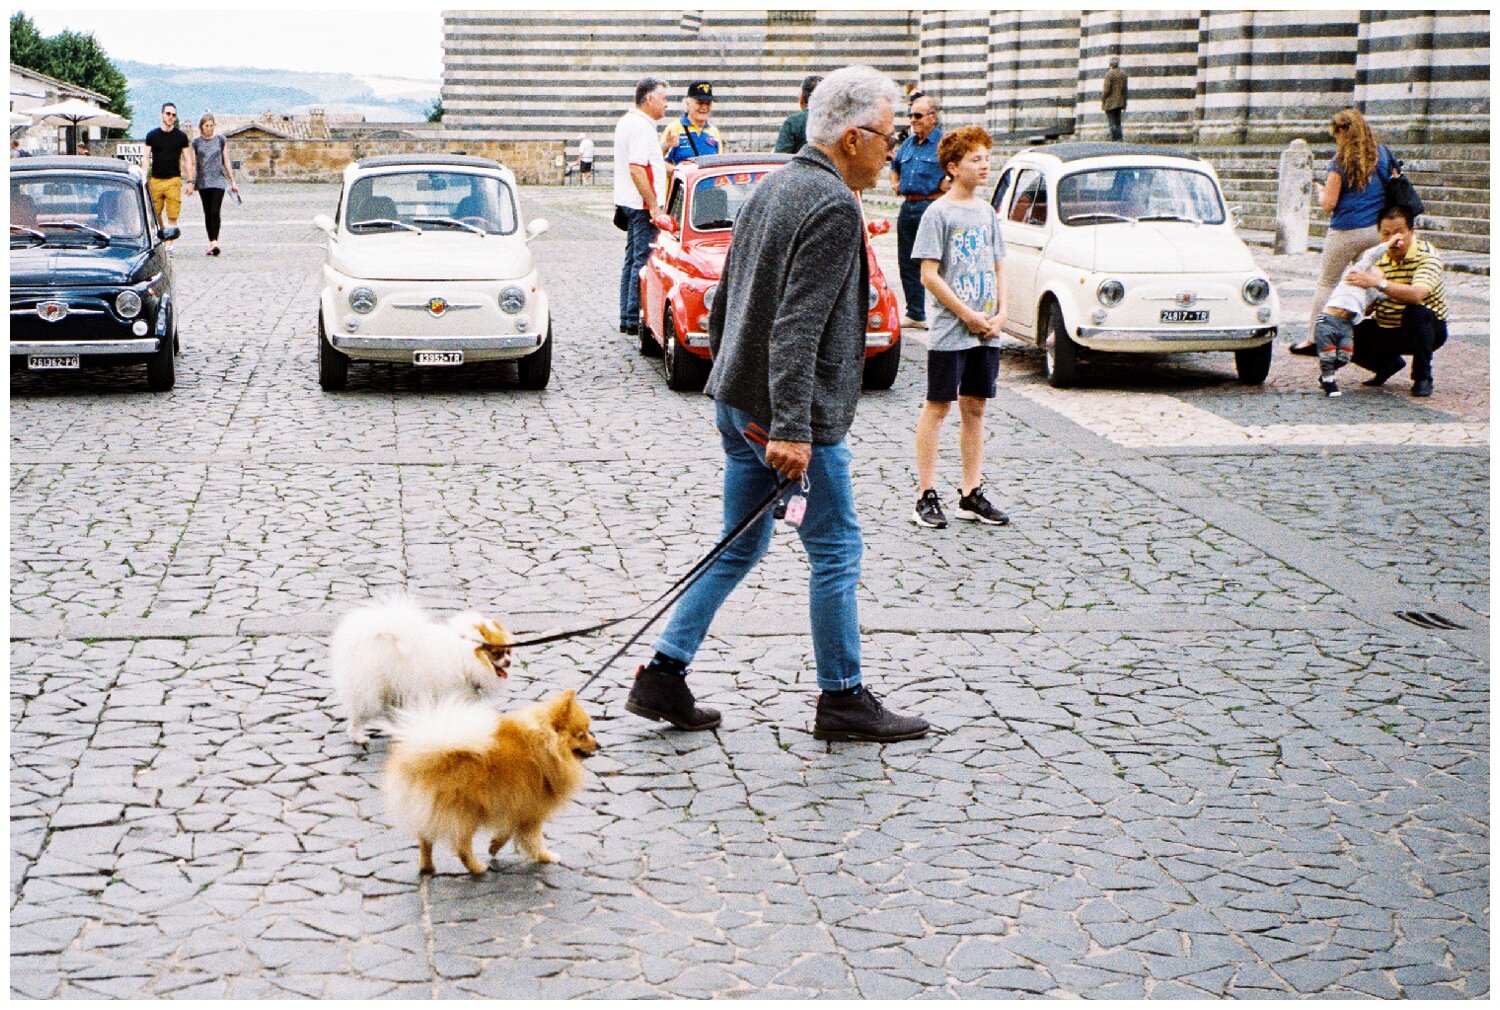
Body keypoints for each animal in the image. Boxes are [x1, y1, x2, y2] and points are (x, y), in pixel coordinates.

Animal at [330, 591, 513, 741]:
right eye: (497, 653)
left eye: (508, 652)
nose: (509, 662)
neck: (467, 655)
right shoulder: (456, 690)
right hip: (372, 690)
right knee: (359, 715)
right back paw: (359, 736)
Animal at [378, 690, 600, 870]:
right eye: (581, 735)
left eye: (588, 731)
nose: (598, 745)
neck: (546, 743)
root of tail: (426, 754)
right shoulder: (530, 809)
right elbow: (533, 840)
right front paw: (546, 857)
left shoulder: (513, 804)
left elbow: (507, 831)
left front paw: (494, 846)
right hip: (466, 813)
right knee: (461, 846)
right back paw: (477, 868)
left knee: (425, 840)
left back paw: (427, 867)